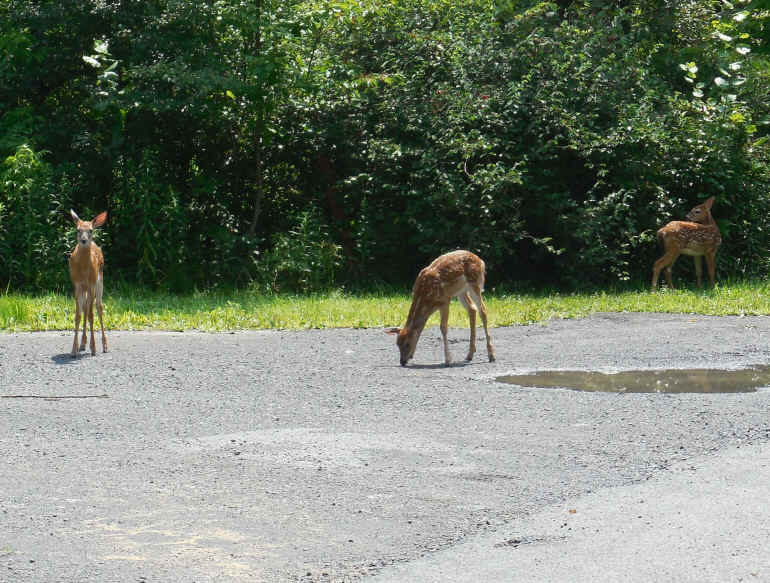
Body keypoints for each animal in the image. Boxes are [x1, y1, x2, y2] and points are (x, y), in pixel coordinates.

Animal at [68, 209, 108, 356]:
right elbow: (78, 315)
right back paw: (83, 343)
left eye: (91, 230)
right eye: (78, 229)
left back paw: (104, 345)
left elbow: (91, 315)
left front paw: (94, 348)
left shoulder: (91, 283)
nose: (84, 240)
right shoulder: (77, 284)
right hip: (86, 288)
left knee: (99, 307)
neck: (84, 269)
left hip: (100, 282)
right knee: (85, 308)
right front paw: (74, 349)